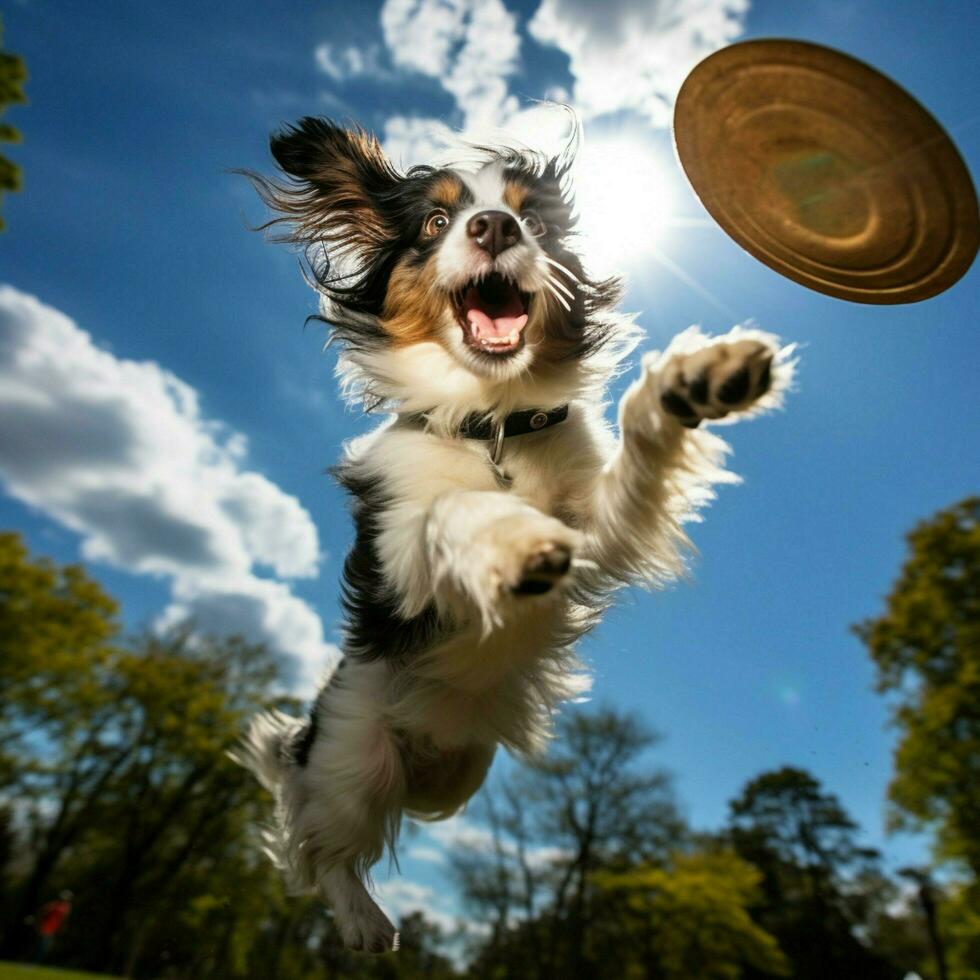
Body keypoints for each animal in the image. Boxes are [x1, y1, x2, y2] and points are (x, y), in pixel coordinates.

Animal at [232, 115, 796, 948]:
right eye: (435, 222)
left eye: (535, 221)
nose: (495, 226)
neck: (491, 422)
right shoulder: (402, 566)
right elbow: (449, 512)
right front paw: (515, 542)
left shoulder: (604, 528)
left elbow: (639, 430)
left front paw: (693, 378)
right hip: (353, 758)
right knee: (314, 839)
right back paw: (362, 918)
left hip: (456, 781)